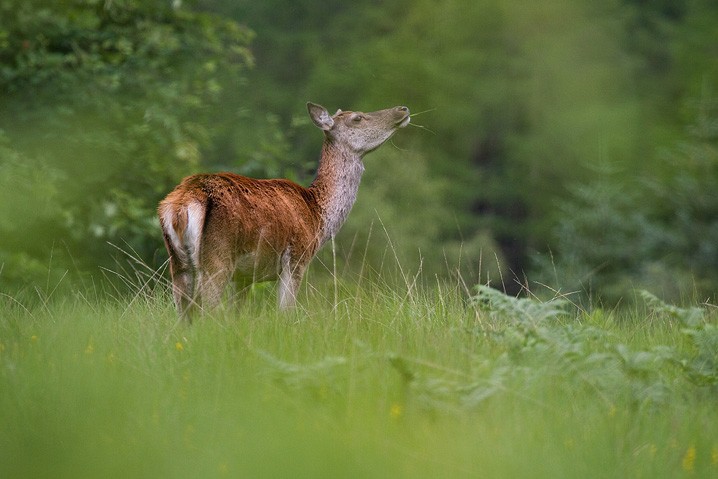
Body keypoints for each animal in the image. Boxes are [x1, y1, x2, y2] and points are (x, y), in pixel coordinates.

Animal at [158, 102, 410, 318]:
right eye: (357, 118)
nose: (403, 109)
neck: (318, 216)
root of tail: (181, 204)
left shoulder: (244, 276)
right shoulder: (297, 258)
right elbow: (285, 314)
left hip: (178, 263)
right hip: (217, 256)